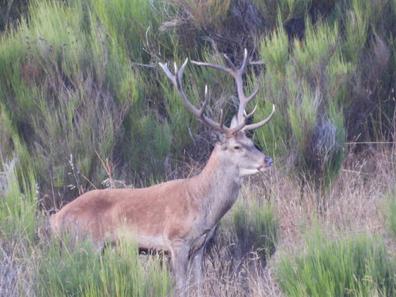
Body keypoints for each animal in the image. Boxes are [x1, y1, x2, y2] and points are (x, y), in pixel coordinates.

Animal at [49, 48, 274, 294]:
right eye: (236, 147)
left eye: (251, 140)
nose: (267, 159)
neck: (202, 205)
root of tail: (55, 220)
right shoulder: (177, 241)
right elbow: (182, 288)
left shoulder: (200, 246)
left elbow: (199, 285)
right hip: (83, 243)